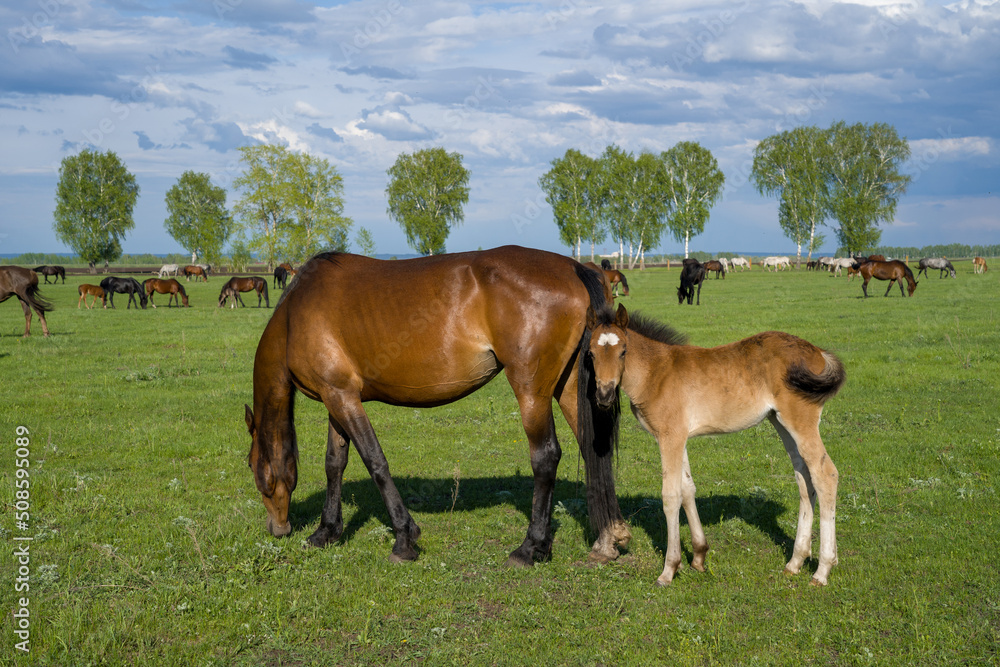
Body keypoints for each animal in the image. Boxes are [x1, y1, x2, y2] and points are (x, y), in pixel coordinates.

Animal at [245, 248, 628, 572]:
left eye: (251, 465)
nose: (277, 528)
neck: (295, 314)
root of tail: (574, 267)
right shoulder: (336, 398)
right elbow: (334, 464)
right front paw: (325, 531)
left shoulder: (342, 397)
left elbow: (375, 461)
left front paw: (404, 537)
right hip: (567, 388)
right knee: (593, 449)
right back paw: (606, 538)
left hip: (531, 391)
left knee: (546, 457)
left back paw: (530, 547)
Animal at [584, 306, 848, 588]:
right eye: (591, 353)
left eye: (623, 351)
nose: (604, 396)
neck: (657, 372)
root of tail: (817, 351)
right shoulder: (679, 437)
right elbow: (687, 489)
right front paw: (698, 557)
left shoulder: (670, 437)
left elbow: (670, 496)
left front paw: (669, 569)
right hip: (780, 422)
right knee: (804, 479)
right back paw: (796, 562)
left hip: (800, 421)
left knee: (826, 474)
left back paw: (822, 570)